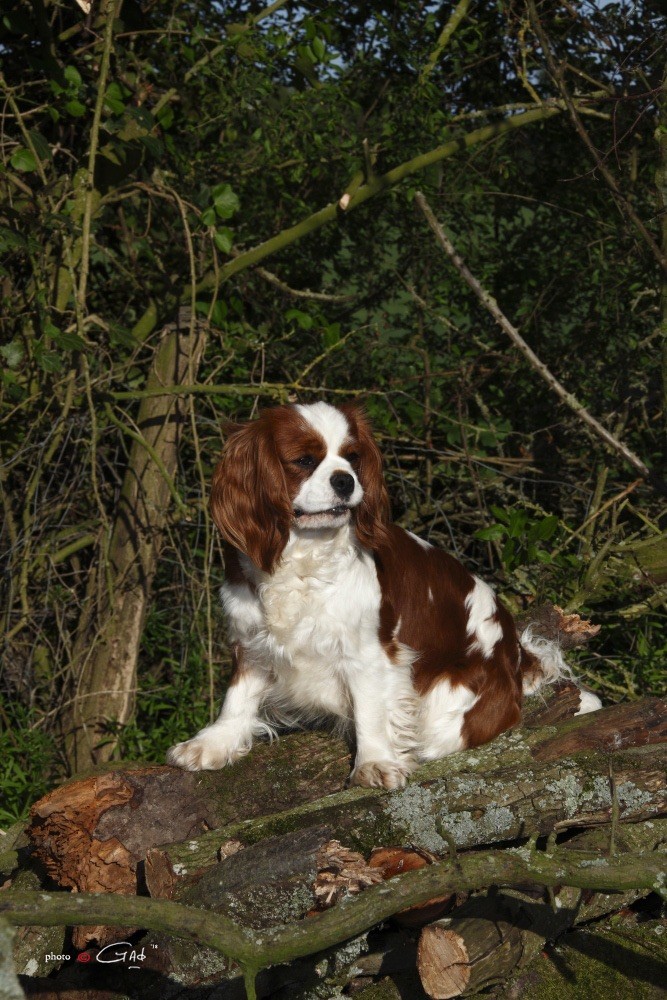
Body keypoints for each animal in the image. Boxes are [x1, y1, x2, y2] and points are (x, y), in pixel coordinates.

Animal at [167, 400, 600, 788]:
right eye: (304, 461)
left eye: (353, 458)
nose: (344, 480)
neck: (303, 552)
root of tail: (514, 652)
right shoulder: (251, 640)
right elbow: (238, 695)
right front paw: (213, 742)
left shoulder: (369, 652)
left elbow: (370, 710)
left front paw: (373, 762)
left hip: (449, 708)